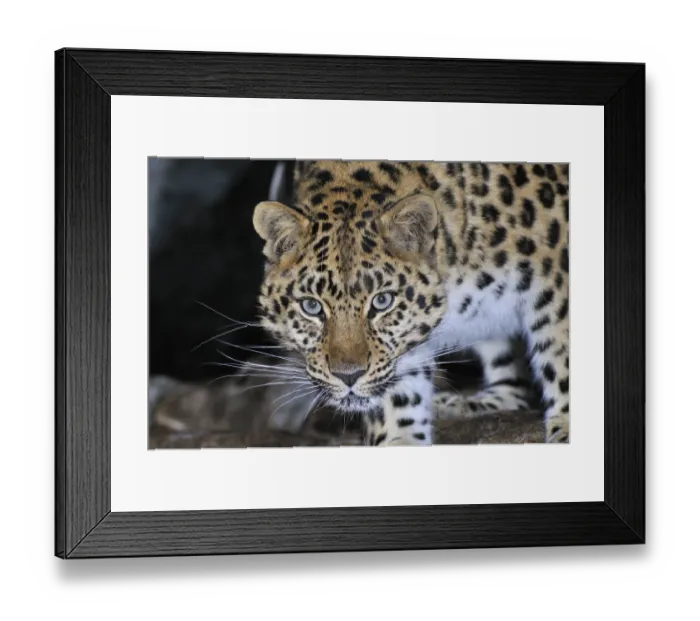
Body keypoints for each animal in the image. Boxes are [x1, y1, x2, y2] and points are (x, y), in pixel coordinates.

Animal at [252, 160, 569, 446]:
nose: (348, 376)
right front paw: (400, 437)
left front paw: (566, 427)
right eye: (312, 307)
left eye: (382, 301)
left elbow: (561, 356)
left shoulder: (558, 277)